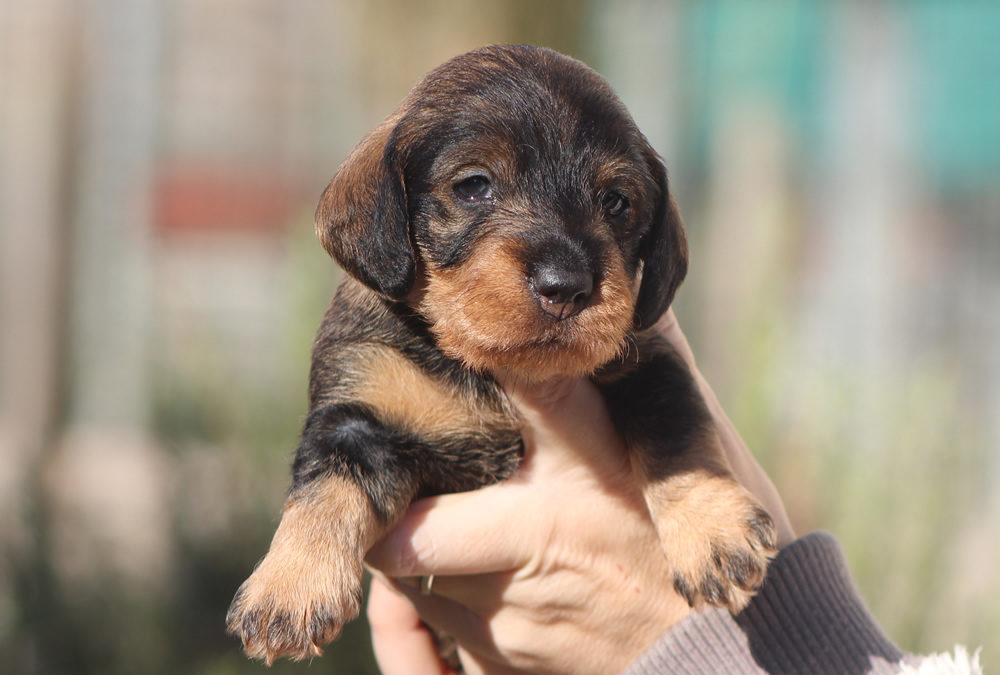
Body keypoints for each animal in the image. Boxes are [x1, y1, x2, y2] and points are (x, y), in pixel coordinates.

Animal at [229, 46, 780, 664]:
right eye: (474, 185)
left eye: (617, 202)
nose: (566, 286)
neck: (481, 367)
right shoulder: (356, 415)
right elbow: (323, 491)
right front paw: (289, 587)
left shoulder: (651, 363)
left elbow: (679, 440)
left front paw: (714, 532)